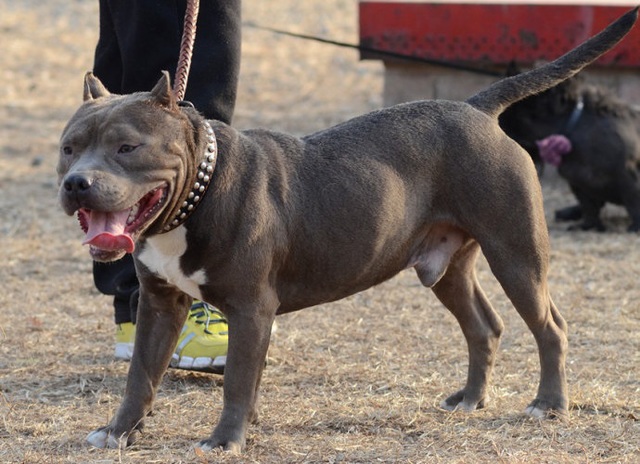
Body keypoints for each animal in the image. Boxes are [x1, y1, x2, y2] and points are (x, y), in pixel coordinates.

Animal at [498, 71, 640, 231]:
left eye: (527, 114)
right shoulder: (579, 185)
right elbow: (589, 208)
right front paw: (587, 225)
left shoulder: (627, 176)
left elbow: (633, 201)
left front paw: (636, 227)